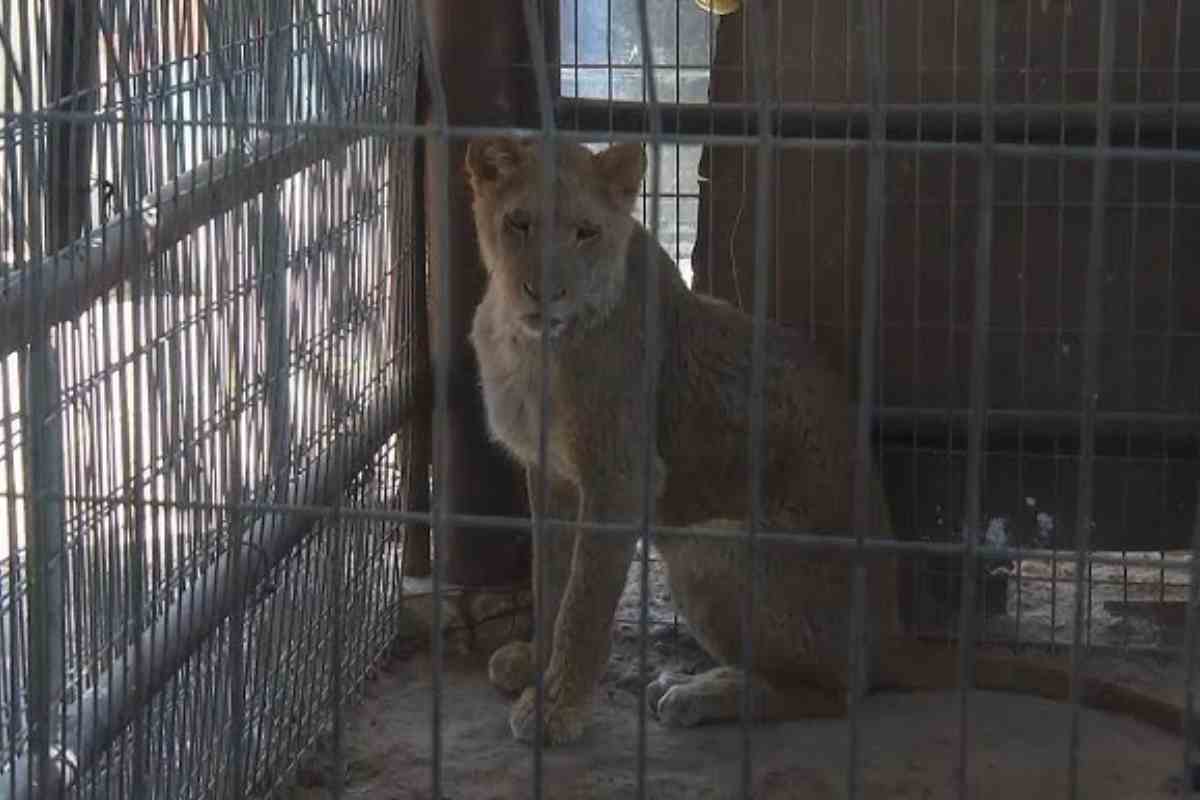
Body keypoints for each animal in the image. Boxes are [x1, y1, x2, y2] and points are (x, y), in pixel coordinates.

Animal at [463, 135, 1187, 747]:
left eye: (586, 233)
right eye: (520, 223)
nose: (545, 292)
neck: (524, 340)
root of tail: (889, 636)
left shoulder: (620, 477)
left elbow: (584, 603)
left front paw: (555, 708)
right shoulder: (551, 474)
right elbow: (551, 572)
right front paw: (533, 660)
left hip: (707, 544)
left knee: (840, 693)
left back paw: (702, 693)